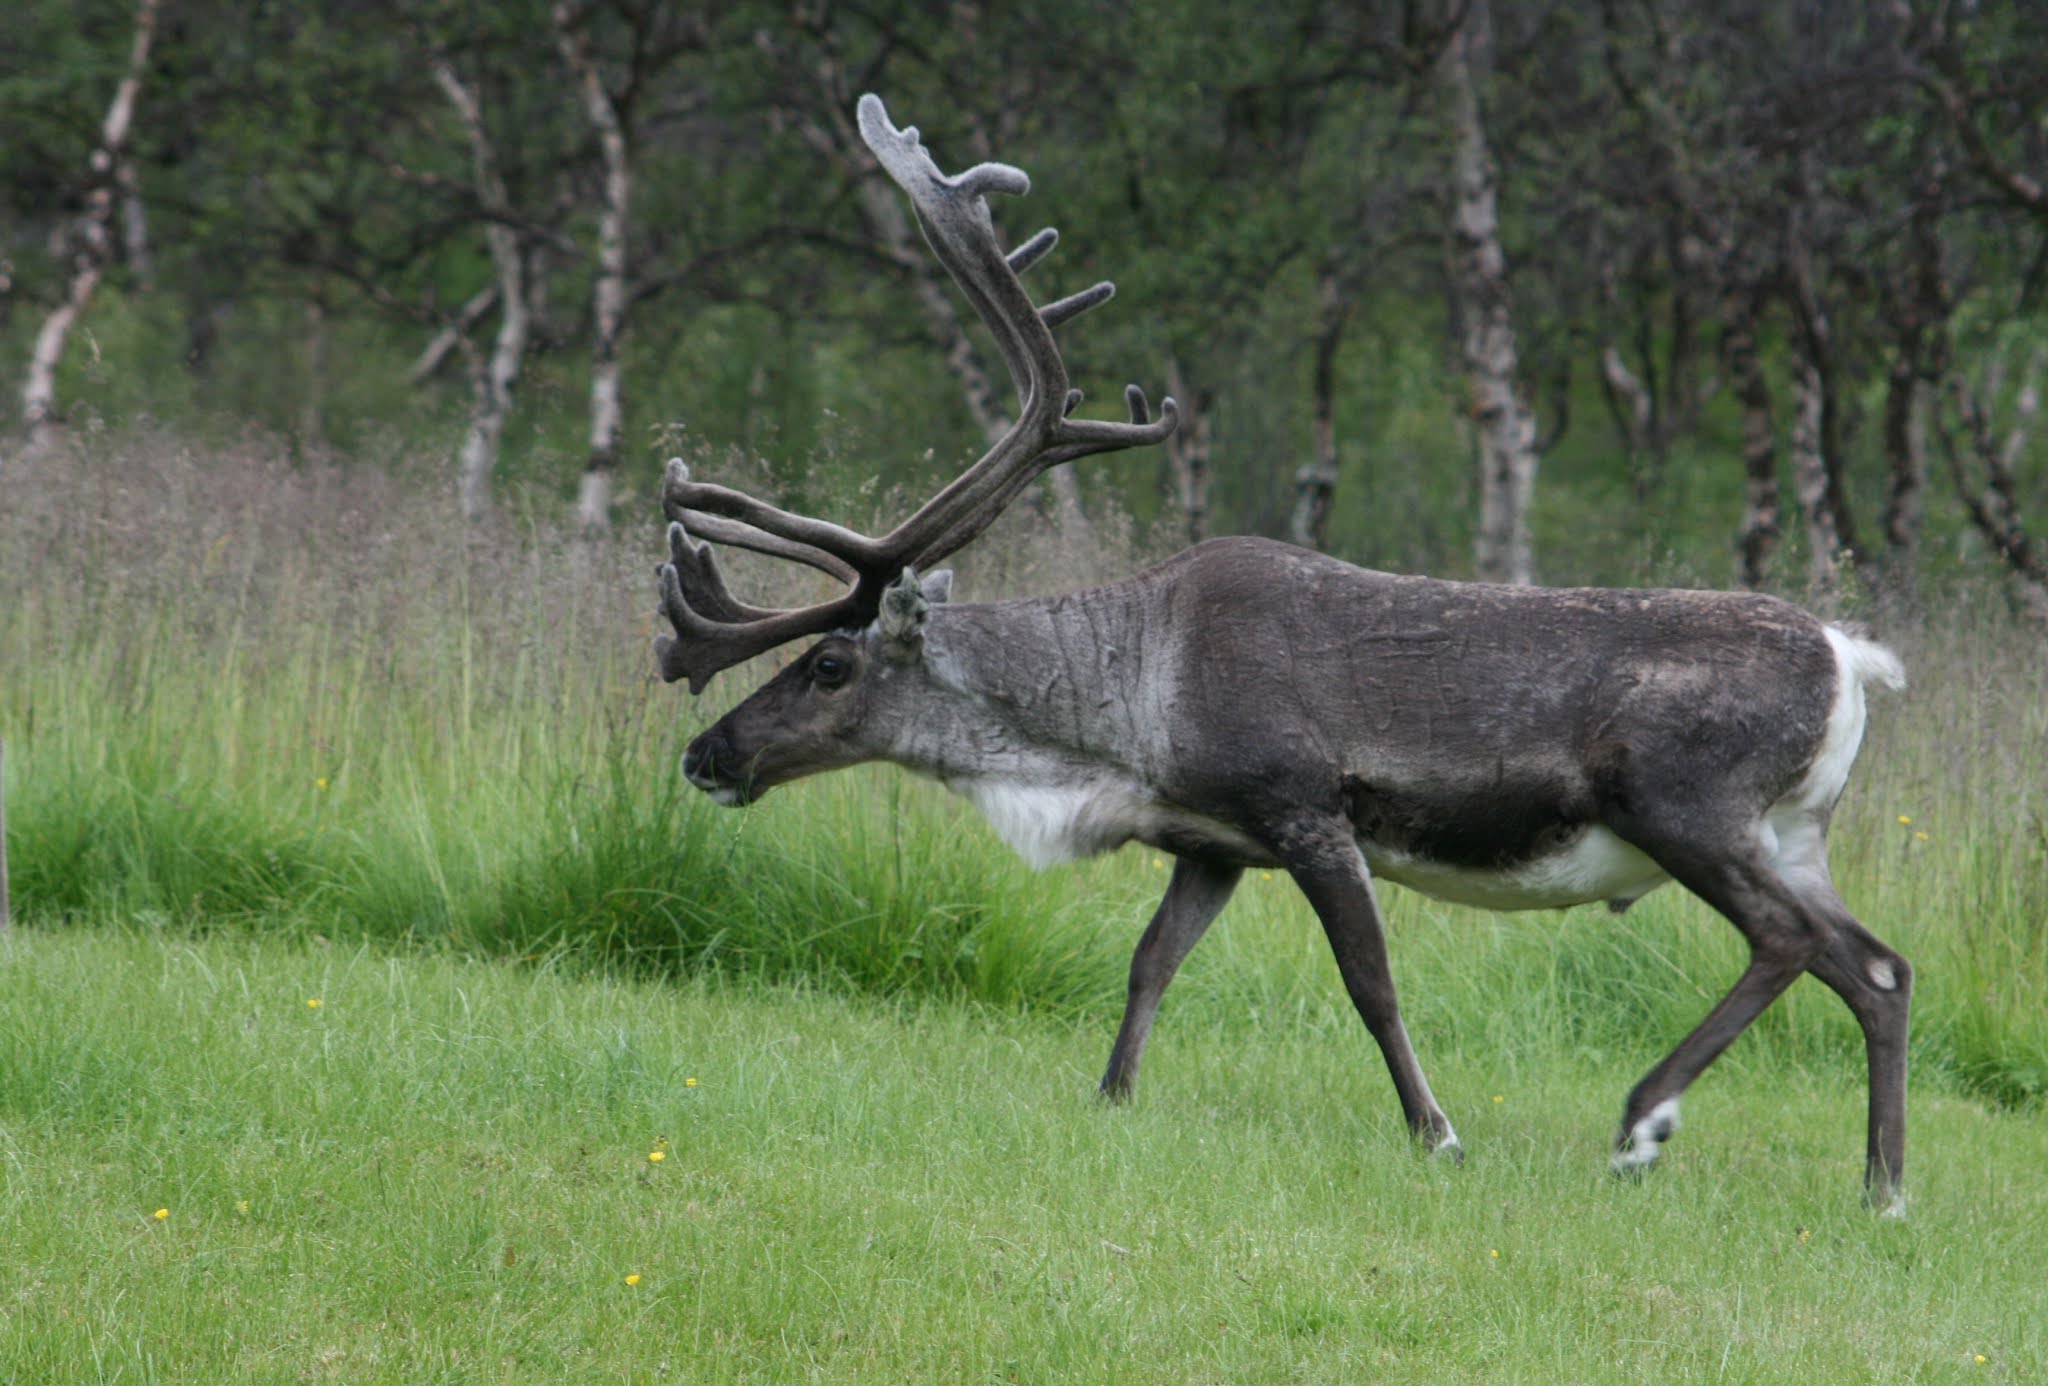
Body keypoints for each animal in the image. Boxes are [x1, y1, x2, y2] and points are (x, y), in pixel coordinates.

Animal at [651, 95, 1913, 1214]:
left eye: (828, 667)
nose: (707, 754)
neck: (1118, 729)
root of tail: (1851, 659)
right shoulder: (1212, 843)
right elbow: (1149, 962)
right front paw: (1109, 1100)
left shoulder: (1302, 806)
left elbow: (1370, 984)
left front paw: (1437, 1134)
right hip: (1791, 831)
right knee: (1876, 968)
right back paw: (1881, 1191)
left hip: (1683, 804)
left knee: (1790, 940)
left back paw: (1644, 1122)